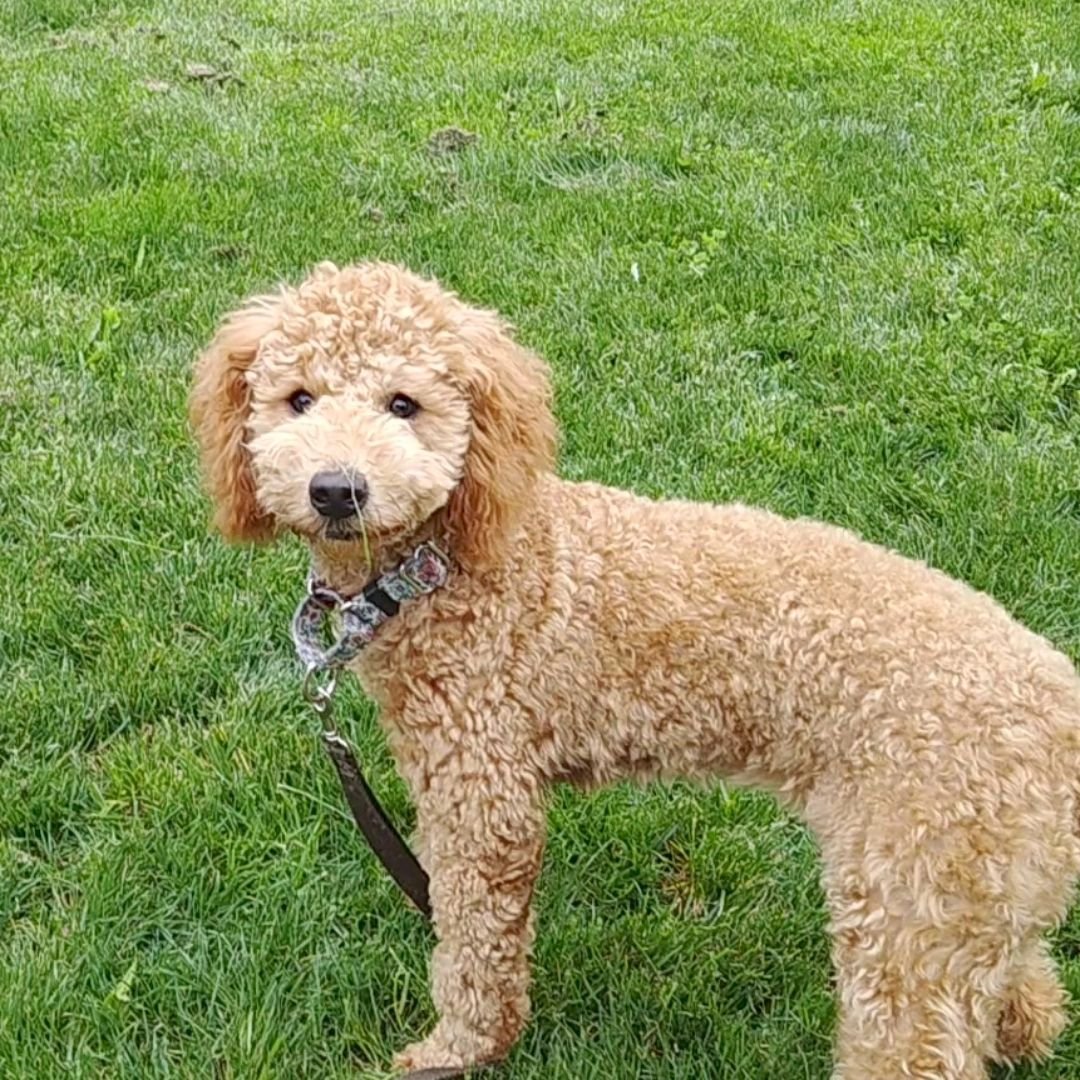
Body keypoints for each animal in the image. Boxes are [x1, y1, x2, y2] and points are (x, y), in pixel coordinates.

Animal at [192, 263, 1080, 1080]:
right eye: (298, 399)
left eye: (403, 404)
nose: (336, 489)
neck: (450, 566)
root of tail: (1060, 704)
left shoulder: (483, 797)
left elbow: (475, 944)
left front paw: (459, 1050)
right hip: (965, 886)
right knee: (1018, 978)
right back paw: (1024, 1028)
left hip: (908, 904)